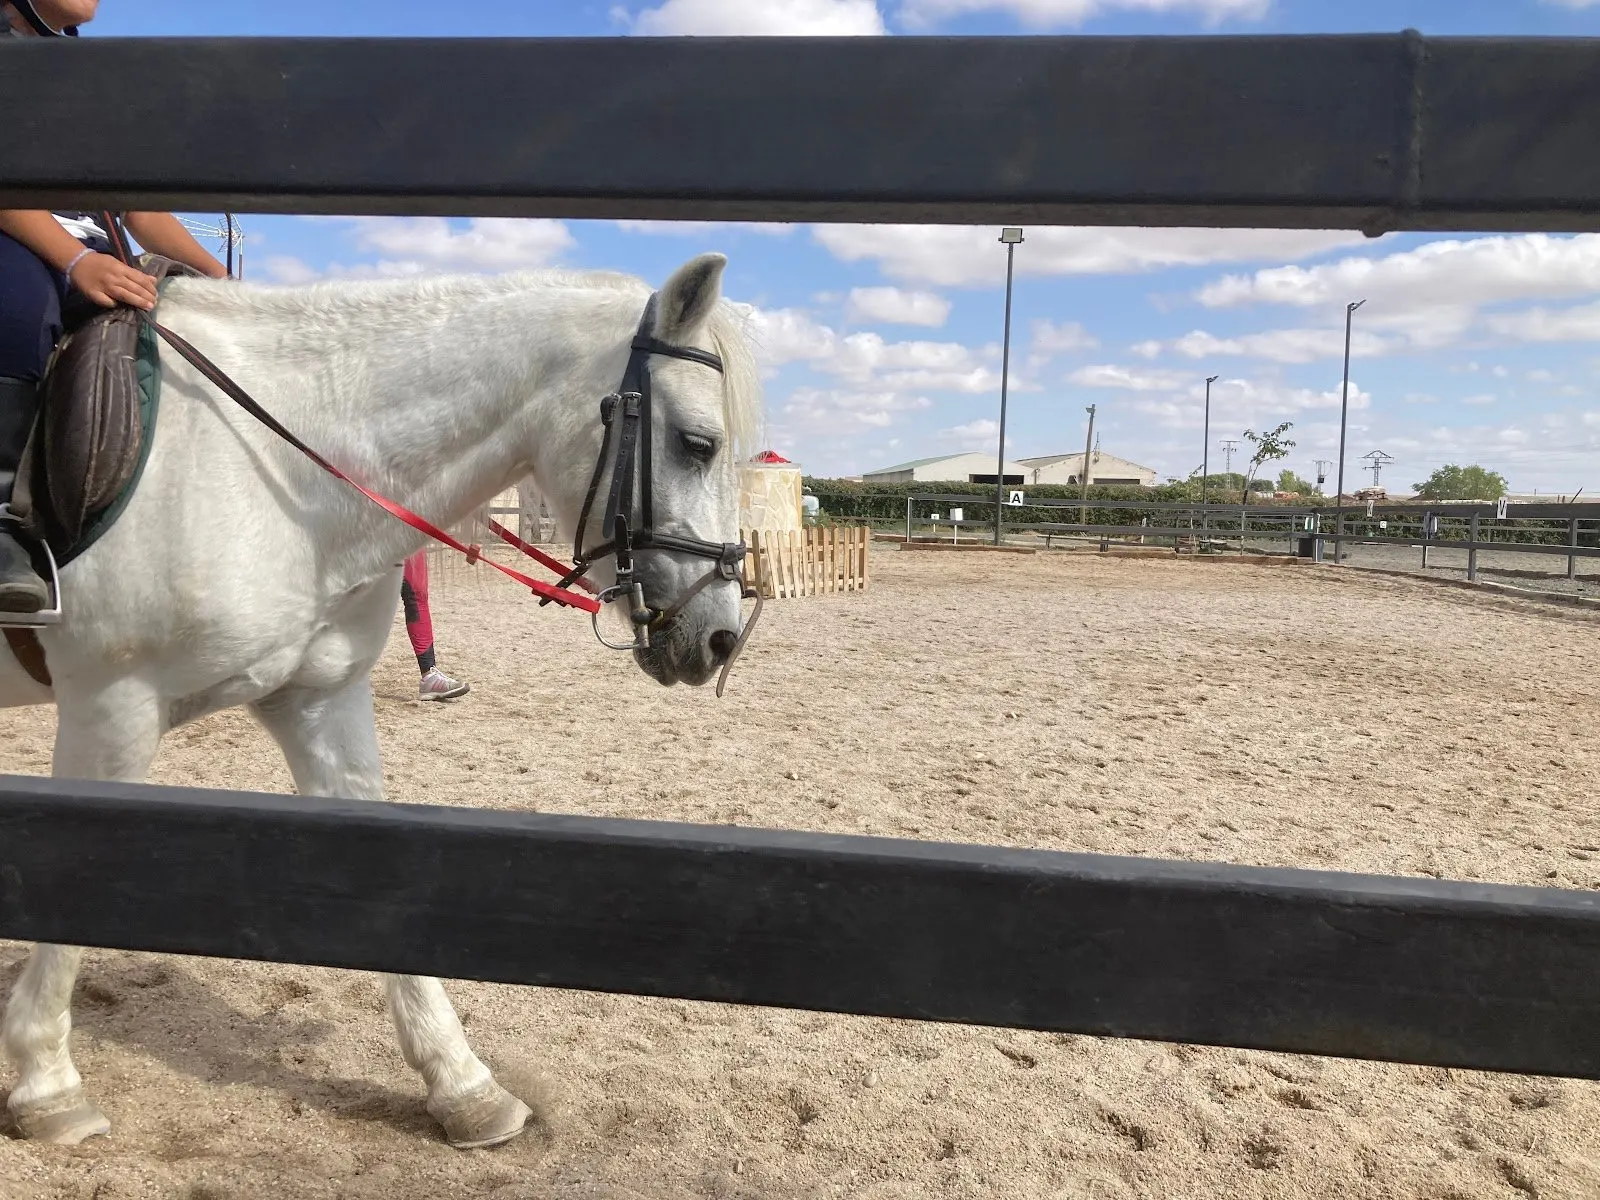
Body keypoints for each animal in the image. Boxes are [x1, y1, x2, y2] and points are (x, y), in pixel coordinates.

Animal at [0, 252, 761, 1148]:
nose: (721, 637)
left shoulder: (318, 700)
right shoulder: (111, 710)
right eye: (698, 444)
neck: (270, 471)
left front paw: (464, 1086)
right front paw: (47, 1084)